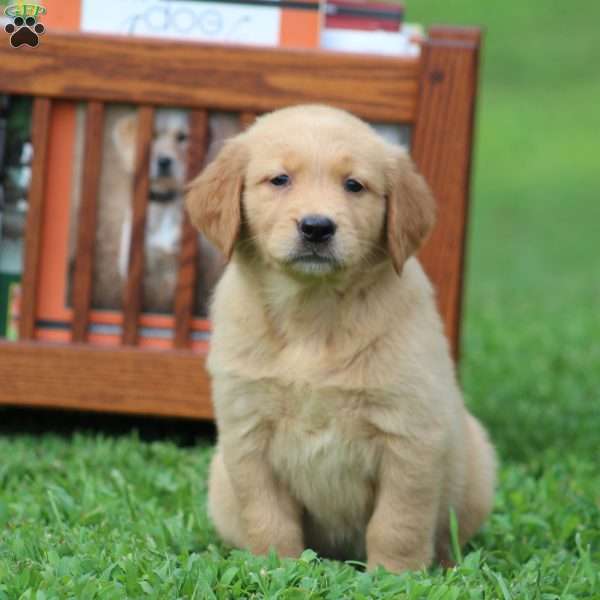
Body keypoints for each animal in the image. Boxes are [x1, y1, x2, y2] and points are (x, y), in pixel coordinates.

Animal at [188, 105, 496, 576]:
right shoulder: (247, 436)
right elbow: (267, 517)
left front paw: (395, 577)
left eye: (354, 185)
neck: (314, 314)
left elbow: (397, 522)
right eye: (280, 179)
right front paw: (274, 569)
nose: (317, 227)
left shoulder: (410, 434)